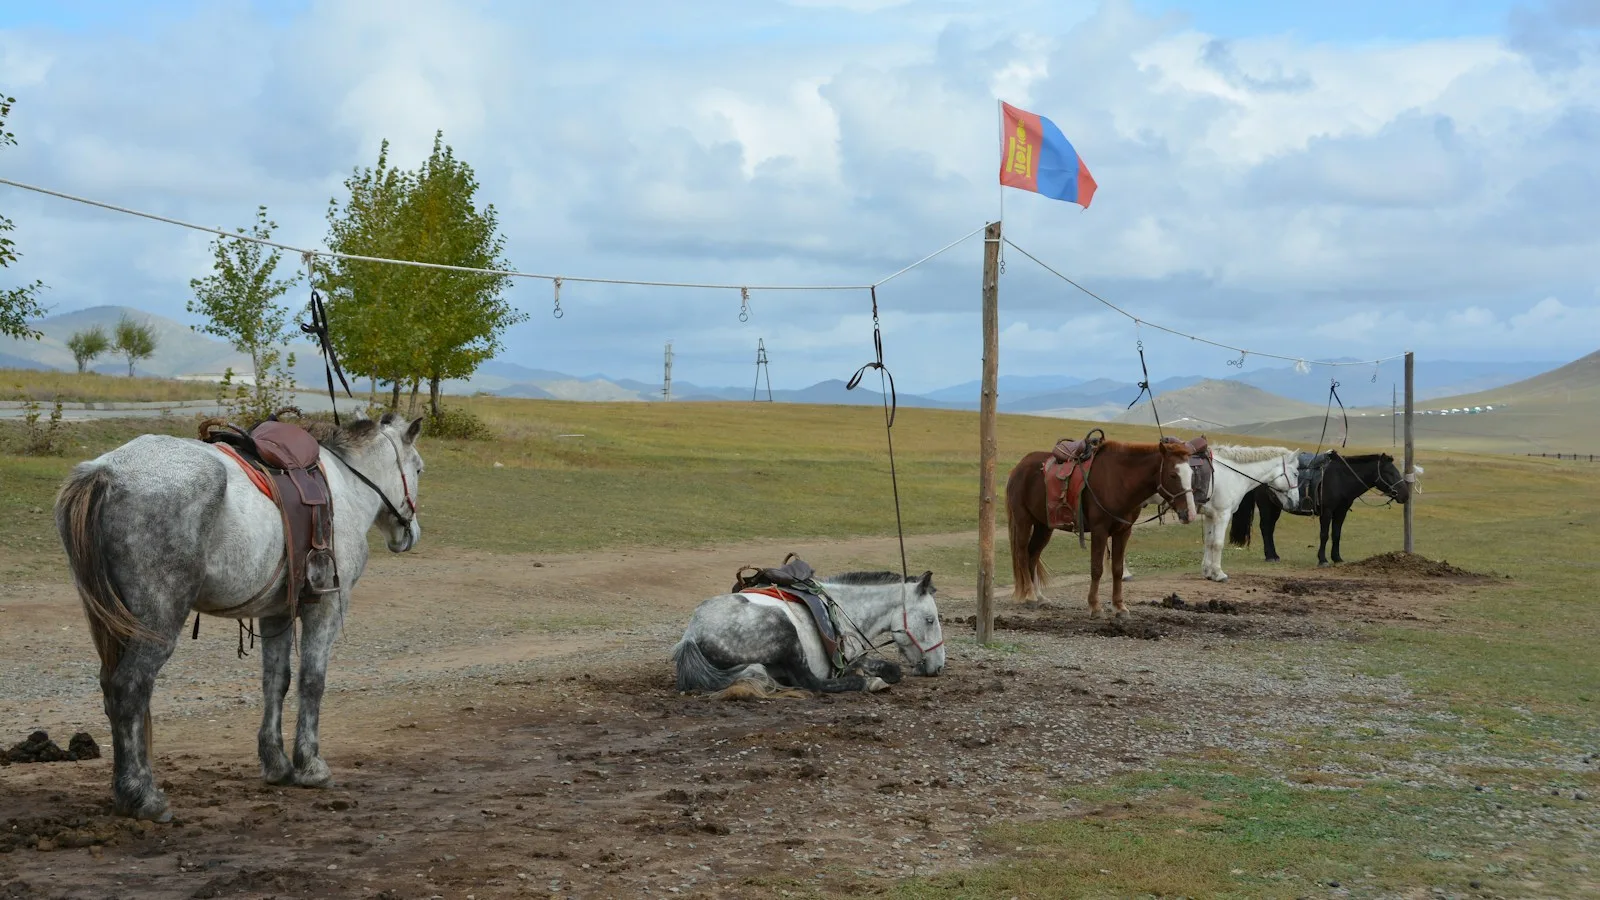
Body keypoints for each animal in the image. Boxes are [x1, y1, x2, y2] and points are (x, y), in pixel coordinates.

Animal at [54, 412, 424, 821]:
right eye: (418, 469)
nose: (410, 534)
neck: (346, 482)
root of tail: (106, 471)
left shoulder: (277, 613)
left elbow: (276, 682)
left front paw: (277, 764)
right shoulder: (327, 605)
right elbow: (312, 681)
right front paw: (311, 765)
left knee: (110, 689)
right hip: (158, 620)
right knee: (129, 687)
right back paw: (142, 796)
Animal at [672, 570, 946, 698]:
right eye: (930, 620)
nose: (939, 667)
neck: (844, 607)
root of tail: (692, 635)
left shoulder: (852, 657)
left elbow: (892, 669)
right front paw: (869, 679)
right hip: (784, 629)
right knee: (810, 682)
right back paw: (863, 683)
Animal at [1006, 439, 1196, 619]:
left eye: (1191, 474)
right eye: (1173, 475)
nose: (1190, 513)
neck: (1120, 480)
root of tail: (1019, 468)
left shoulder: (1123, 531)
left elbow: (1117, 570)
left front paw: (1119, 607)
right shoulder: (1100, 530)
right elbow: (1096, 569)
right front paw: (1095, 606)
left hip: (1044, 526)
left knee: (1033, 555)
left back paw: (1039, 596)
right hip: (1023, 520)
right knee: (1022, 554)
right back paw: (1030, 596)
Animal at [1121, 444, 1302, 583]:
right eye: (1296, 474)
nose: (1295, 502)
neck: (1233, 474)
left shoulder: (1210, 515)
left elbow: (1208, 542)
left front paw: (1208, 572)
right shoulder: (1223, 515)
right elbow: (1218, 543)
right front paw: (1219, 574)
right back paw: (1124, 574)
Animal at [1228, 451, 1414, 567]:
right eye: (1390, 473)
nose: (1405, 495)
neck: (1341, 478)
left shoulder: (1341, 512)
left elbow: (1336, 534)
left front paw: (1337, 558)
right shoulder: (1327, 511)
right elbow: (1324, 534)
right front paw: (1323, 560)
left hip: (1276, 507)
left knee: (1269, 529)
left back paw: (1274, 555)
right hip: (1267, 506)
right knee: (1265, 528)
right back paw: (1270, 557)